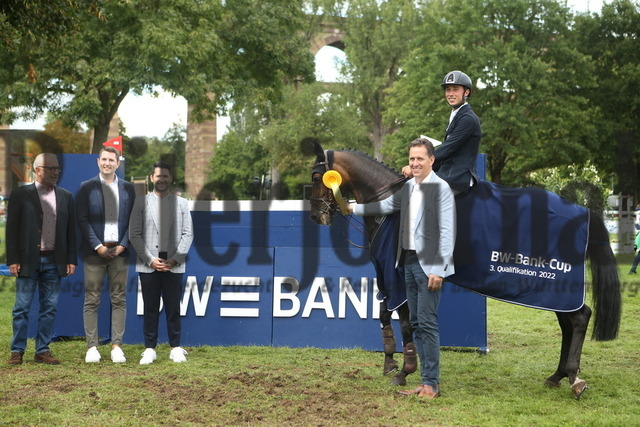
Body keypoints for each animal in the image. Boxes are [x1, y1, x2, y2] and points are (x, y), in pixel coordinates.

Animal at [308, 139, 624, 400]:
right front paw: (390, 362)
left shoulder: (395, 275)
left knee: (580, 317)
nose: (316, 216)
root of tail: (583, 211)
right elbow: (386, 315)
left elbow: (405, 322)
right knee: (568, 323)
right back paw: (557, 375)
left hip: (554, 285)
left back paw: (574, 379)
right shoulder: (391, 278)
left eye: (315, 176)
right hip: (551, 292)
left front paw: (404, 370)